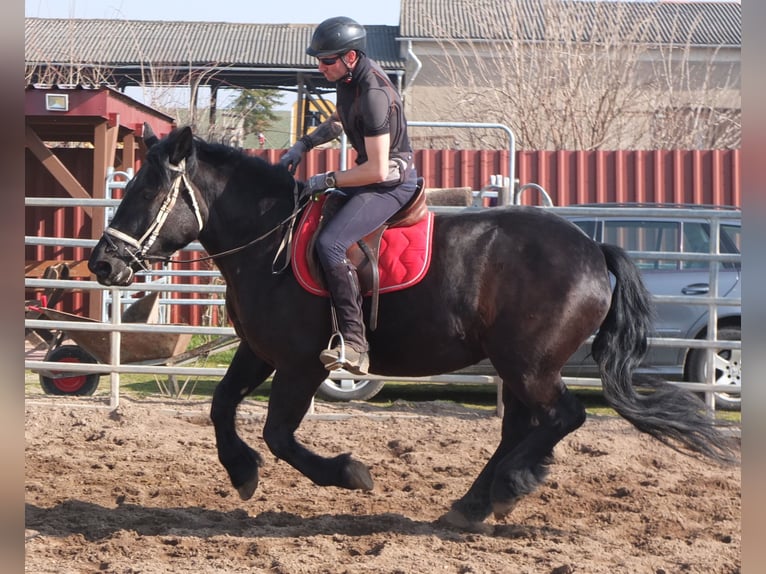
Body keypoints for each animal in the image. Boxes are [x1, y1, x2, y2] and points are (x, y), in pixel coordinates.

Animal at [87, 126, 736, 532]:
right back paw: (475, 503)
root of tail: (593, 249)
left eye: (147, 190)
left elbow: (278, 435)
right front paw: (242, 473)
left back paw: (510, 486)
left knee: (562, 417)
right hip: (516, 366)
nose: (101, 264)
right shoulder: (259, 351)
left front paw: (348, 473)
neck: (270, 239)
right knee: (521, 427)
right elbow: (221, 407)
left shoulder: (299, 364)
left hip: (530, 364)